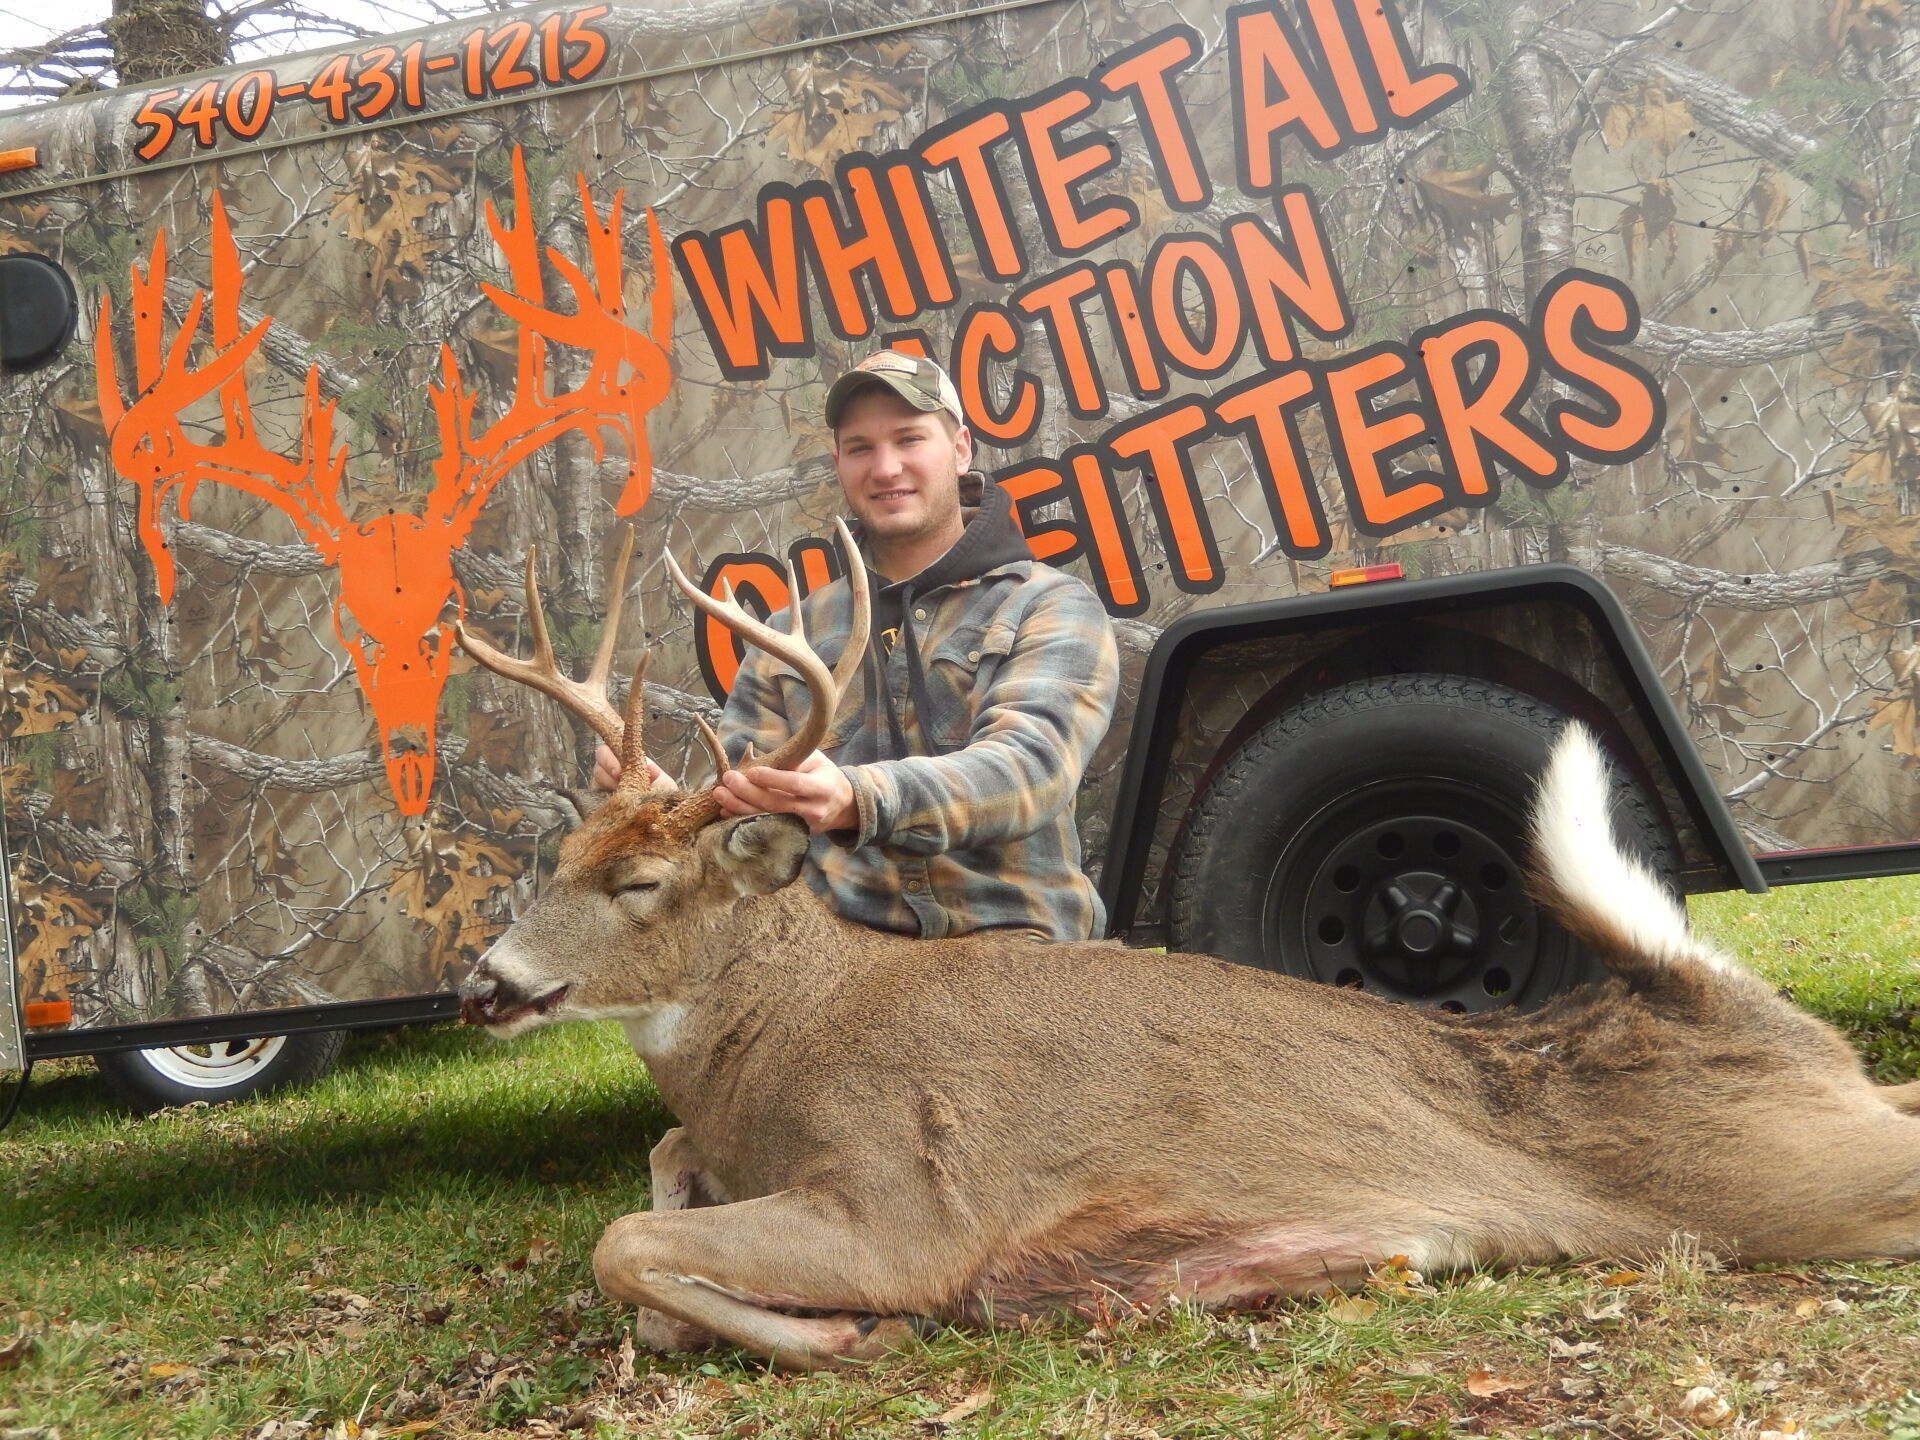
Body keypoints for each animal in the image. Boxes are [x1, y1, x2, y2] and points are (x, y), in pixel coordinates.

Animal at [453, 523, 1920, 1372]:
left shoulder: (896, 1205)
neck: (771, 1053)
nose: (485, 984)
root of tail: (1707, 1008)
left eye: (637, 880)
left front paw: (831, 1335)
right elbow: (651, 1186)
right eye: (551, 861)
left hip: (1777, 1179)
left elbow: (622, 1246)